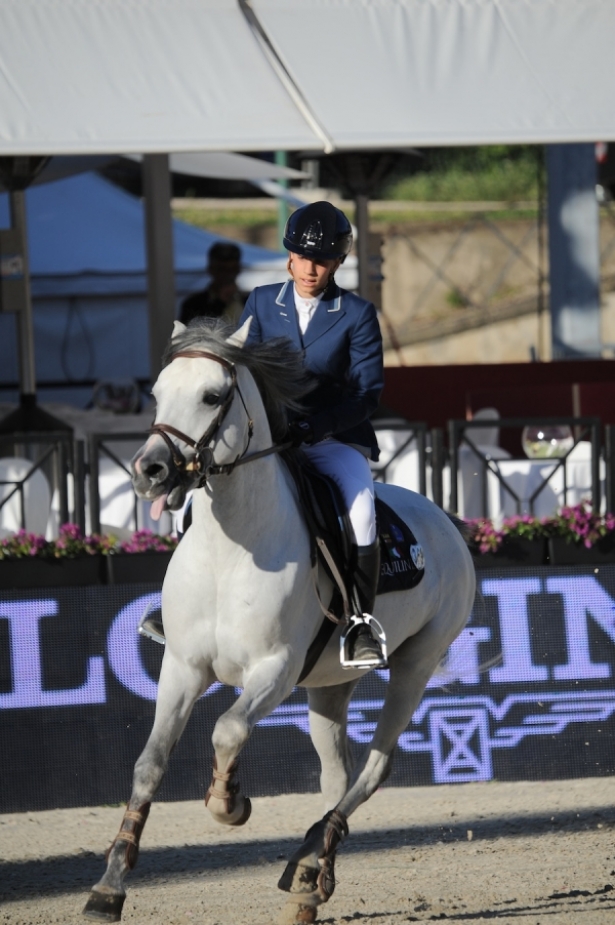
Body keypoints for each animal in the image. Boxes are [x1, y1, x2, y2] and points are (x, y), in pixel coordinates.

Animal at [83, 320, 476, 924]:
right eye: (157, 393)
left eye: (212, 397)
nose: (148, 472)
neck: (230, 548)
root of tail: (445, 520)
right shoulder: (183, 666)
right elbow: (149, 764)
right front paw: (109, 886)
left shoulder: (276, 669)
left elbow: (228, 728)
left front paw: (230, 802)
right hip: (330, 686)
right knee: (337, 775)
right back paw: (311, 878)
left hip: (416, 663)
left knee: (374, 768)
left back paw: (310, 866)